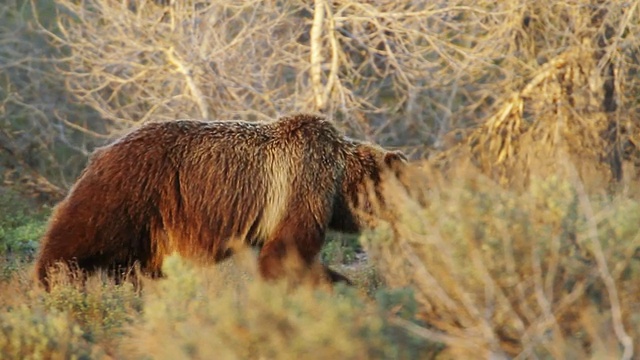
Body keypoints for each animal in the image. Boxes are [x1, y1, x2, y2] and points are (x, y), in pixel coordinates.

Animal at [33, 114, 404, 288]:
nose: (406, 224)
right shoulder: (302, 182)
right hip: (127, 192)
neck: (340, 178)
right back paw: (51, 281)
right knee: (76, 237)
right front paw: (337, 284)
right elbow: (286, 252)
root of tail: (100, 151)